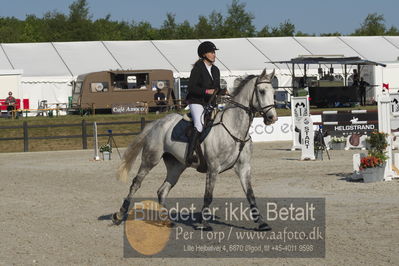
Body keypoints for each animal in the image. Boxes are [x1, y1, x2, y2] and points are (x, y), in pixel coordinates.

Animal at [111, 68, 278, 231]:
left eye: (273, 92)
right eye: (262, 91)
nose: (272, 118)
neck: (234, 129)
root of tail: (157, 123)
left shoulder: (243, 168)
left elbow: (250, 194)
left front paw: (261, 223)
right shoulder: (213, 168)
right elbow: (208, 195)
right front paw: (203, 223)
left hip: (177, 166)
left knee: (162, 190)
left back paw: (168, 221)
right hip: (150, 159)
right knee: (136, 184)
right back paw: (119, 215)